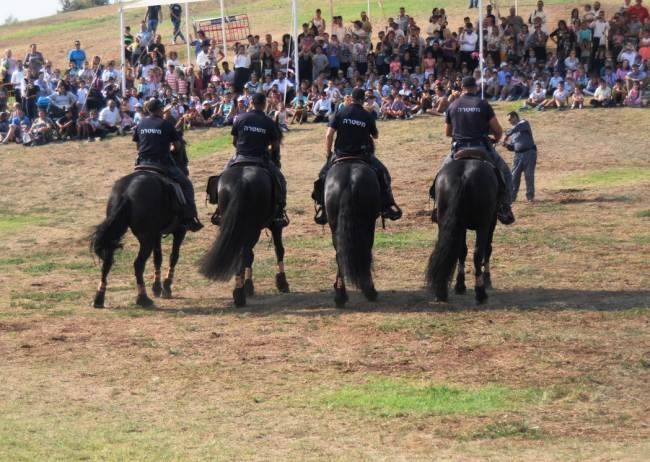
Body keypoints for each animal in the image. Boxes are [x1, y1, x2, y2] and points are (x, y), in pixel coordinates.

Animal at [90, 148, 189, 308]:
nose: (186, 165)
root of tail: (126, 193)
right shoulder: (179, 231)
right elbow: (173, 257)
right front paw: (166, 286)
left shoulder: (157, 234)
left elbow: (158, 258)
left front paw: (157, 287)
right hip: (146, 238)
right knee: (138, 264)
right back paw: (143, 298)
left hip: (117, 233)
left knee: (107, 261)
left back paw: (99, 298)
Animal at [199, 164, 288, 308]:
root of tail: (242, 182)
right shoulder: (276, 226)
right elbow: (279, 250)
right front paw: (282, 283)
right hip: (254, 228)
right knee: (244, 254)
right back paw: (240, 294)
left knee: (240, 253)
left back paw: (239, 290)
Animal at [324, 159, 380, 306]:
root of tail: (350, 181)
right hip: (368, 223)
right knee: (366, 251)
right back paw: (370, 290)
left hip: (334, 225)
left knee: (339, 255)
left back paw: (340, 295)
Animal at [426, 157, 496, 304]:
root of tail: (463, 177)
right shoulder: (491, 222)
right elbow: (487, 249)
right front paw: (487, 279)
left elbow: (462, 251)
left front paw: (460, 285)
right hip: (483, 225)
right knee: (478, 253)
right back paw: (481, 293)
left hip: (447, 222)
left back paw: (442, 291)